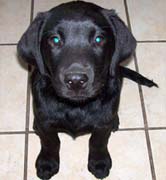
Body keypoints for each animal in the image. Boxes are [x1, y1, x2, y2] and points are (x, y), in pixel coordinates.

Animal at [17, 1, 158, 179]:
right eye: (55, 40)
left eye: (99, 39)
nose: (76, 81)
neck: (75, 106)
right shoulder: (46, 121)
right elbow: (51, 141)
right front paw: (47, 162)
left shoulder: (102, 123)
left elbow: (97, 141)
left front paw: (99, 162)